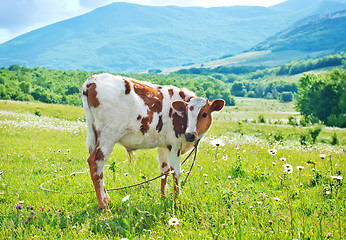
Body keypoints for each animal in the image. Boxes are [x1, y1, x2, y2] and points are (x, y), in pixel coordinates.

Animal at [82, 73, 226, 212]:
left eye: (204, 114)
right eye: (187, 112)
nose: (190, 135)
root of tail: (92, 80)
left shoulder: (163, 145)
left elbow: (164, 170)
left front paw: (163, 197)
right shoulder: (176, 144)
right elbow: (176, 171)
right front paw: (177, 197)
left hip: (93, 134)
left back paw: (108, 200)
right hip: (109, 135)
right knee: (96, 162)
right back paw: (104, 207)